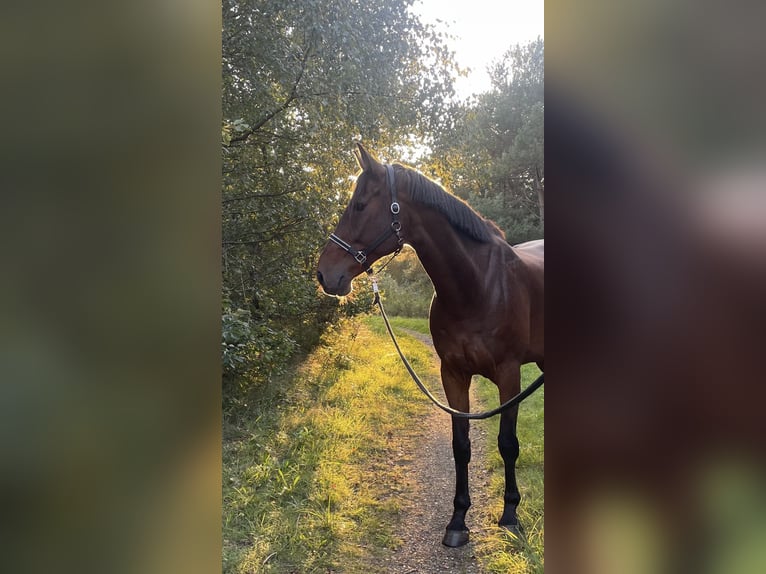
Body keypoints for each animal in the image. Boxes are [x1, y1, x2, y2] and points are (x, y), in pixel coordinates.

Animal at [316, 144, 544, 548]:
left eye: (360, 205)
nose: (325, 274)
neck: (478, 286)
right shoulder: (452, 373)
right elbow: (461, 446)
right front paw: (458, 521)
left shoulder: (509, 375)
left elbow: (507, 443)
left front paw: (510, 515)